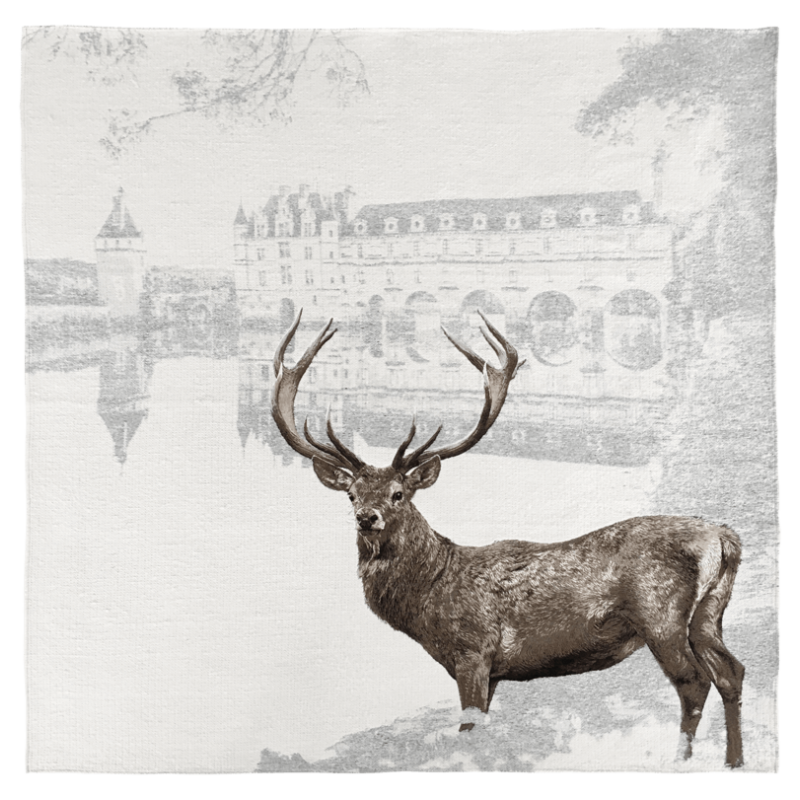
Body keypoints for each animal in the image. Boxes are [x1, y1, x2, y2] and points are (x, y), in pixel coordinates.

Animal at [271, 309, 745, 769]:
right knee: (732, 672)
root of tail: (723, 537)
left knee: (694, 682)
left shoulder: (473, 651)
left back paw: (682, 760)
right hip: (709, 614)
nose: (366, 518)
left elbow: (469, 728)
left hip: (660, 613)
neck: (430, 594)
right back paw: (734, 760)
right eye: (351, 494)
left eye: (398, 494)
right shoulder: (493, 669)